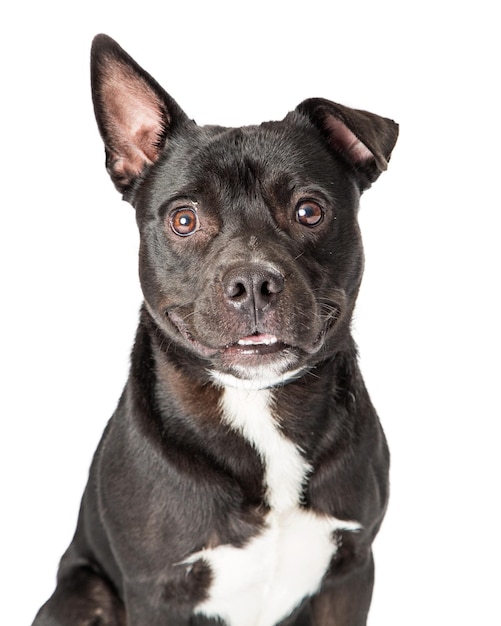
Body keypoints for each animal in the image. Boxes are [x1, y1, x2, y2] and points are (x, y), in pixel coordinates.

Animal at [32, 35, 398, 624]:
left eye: (309, 211)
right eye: (184, 219)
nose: (252, 280)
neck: (257, 407)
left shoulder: (350, 572)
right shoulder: (157, 592)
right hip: (83, 596)